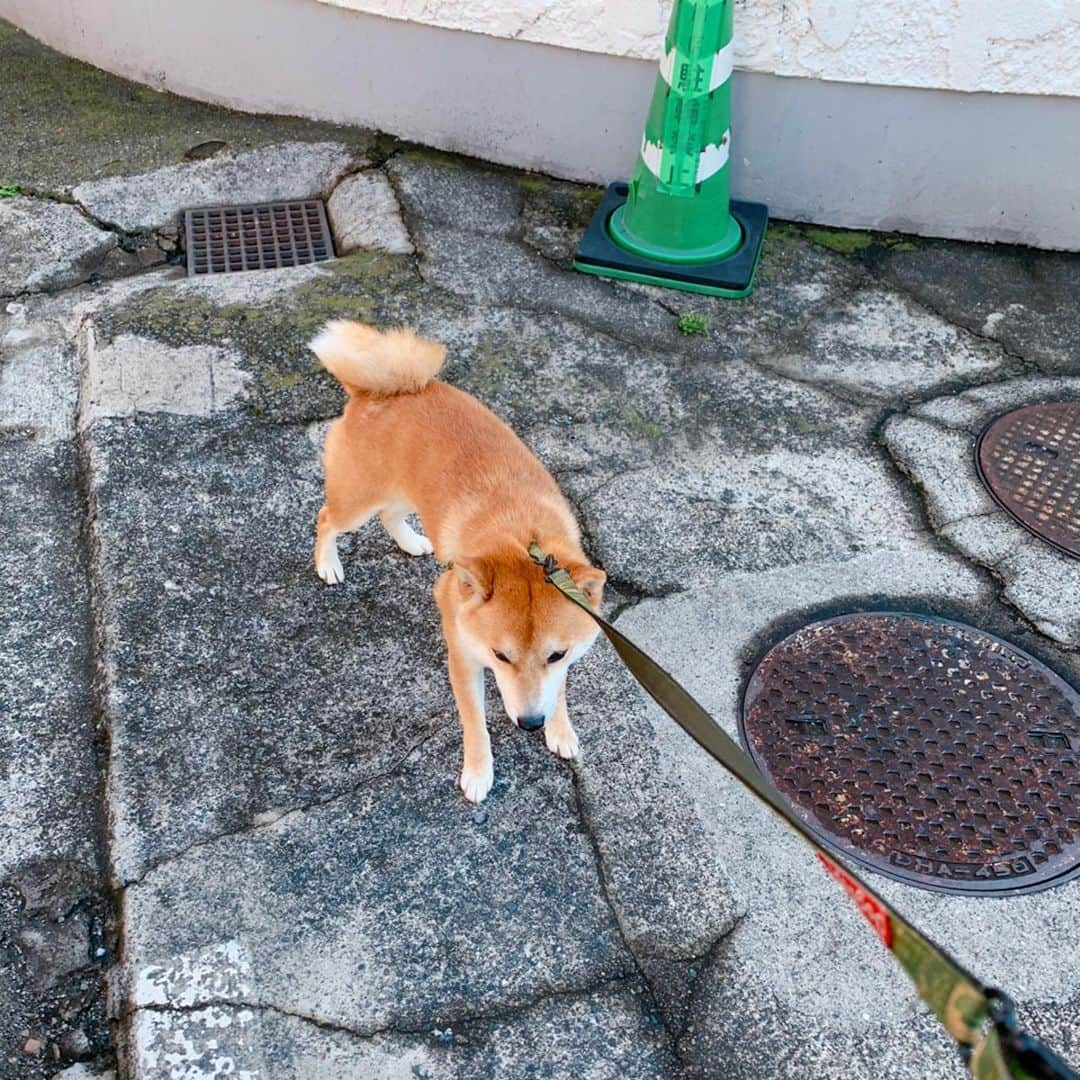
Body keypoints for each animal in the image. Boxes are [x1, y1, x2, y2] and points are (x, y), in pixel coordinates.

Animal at [311, 317, 609, 803]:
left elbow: (560, 689)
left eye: (556, 654)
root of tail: (380, 391)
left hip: (402, 494)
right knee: (326, 520)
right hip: (357, 500)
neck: (522, 536)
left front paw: (560, 729)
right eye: (500, 656)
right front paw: (478, 771)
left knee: (390, 515)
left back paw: (412, 542)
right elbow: (475, 723)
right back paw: (328, 564)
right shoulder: (463, 653)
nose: (531, 724)